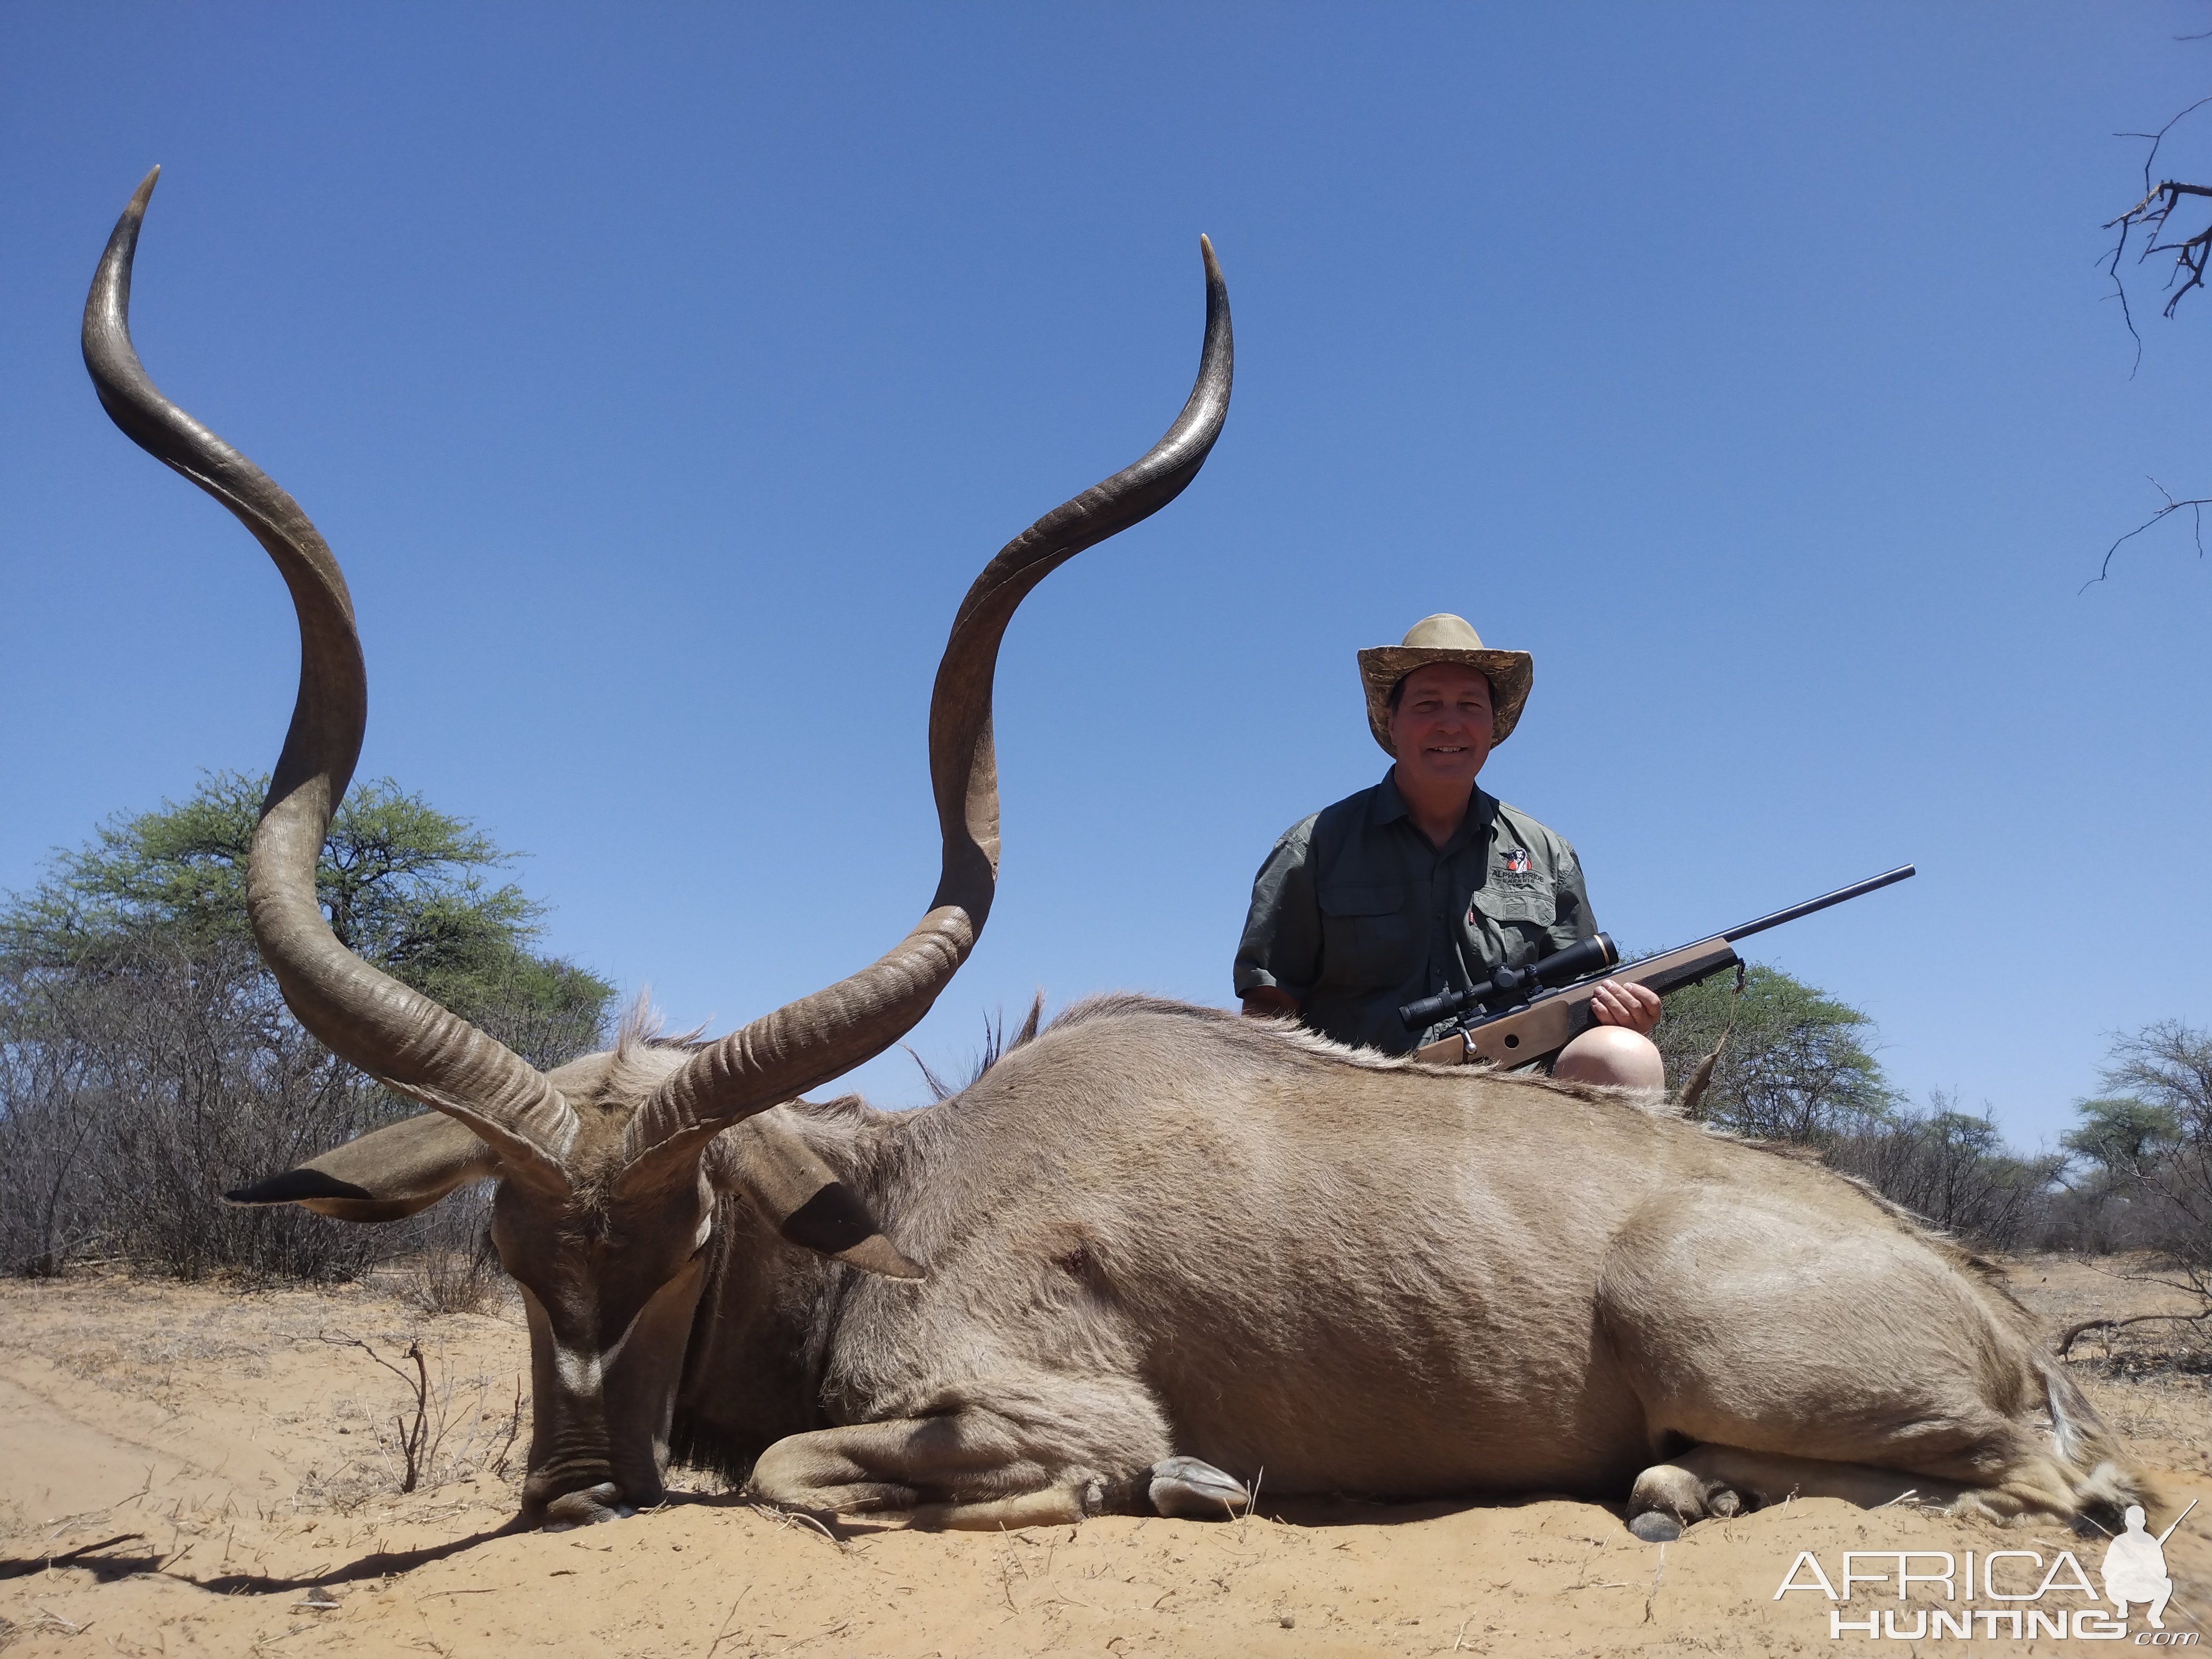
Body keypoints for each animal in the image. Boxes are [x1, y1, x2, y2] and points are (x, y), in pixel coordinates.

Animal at [86, 172, 2141, 1548]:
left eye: (690, 1237)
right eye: (511, 1247)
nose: (580, 1482)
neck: (902, 1191)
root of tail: (1994, 1313)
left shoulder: (1023, 1402)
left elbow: (803, 1469)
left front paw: (1186, 1477)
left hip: (1760, 1364)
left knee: (2041, 1487)